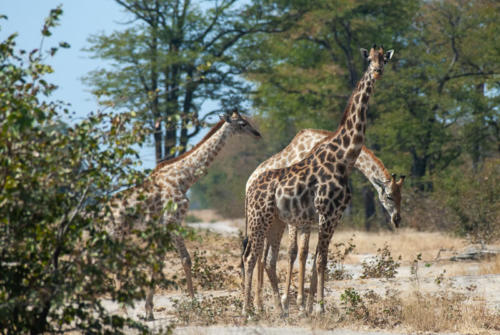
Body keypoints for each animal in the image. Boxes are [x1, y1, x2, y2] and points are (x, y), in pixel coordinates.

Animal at [107, 111, 260, 320]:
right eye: (243, 124)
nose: (257, 134)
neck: (184, 178)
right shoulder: (173, 220)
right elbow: (186, 259)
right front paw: (195, 304)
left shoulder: (163, 226)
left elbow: (158, 263)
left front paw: (149, 311)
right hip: (117, 232)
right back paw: (122, 310)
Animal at [243, 45, 394, 316]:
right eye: (369, 59)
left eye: (384, 59)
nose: (377, 71)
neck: (345, 158)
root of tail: (250, 188)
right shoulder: (325, 213)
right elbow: (320, 258)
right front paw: (319, 308)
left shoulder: (334, 216)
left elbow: (320, 258)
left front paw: (312, 306)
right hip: (259, 218)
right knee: (251, 257)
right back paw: (248, 310)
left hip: (273, 221)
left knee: (262, 257)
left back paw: (271, 309)